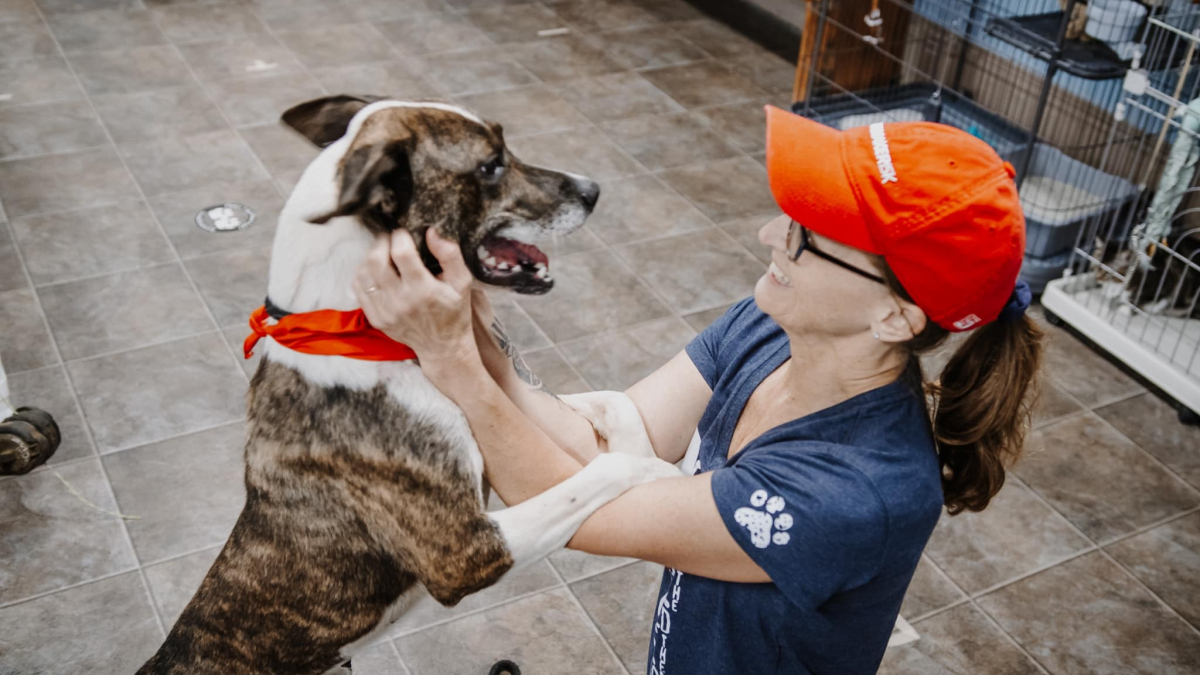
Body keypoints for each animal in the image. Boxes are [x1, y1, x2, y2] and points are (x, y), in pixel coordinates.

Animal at [136, 96, 681, 672]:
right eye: (491, 165)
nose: (593, 190)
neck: (361, 332)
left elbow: (615, 402)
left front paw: (648, 449)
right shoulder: (465, 552)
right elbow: (602, 470)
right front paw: (662, 474)